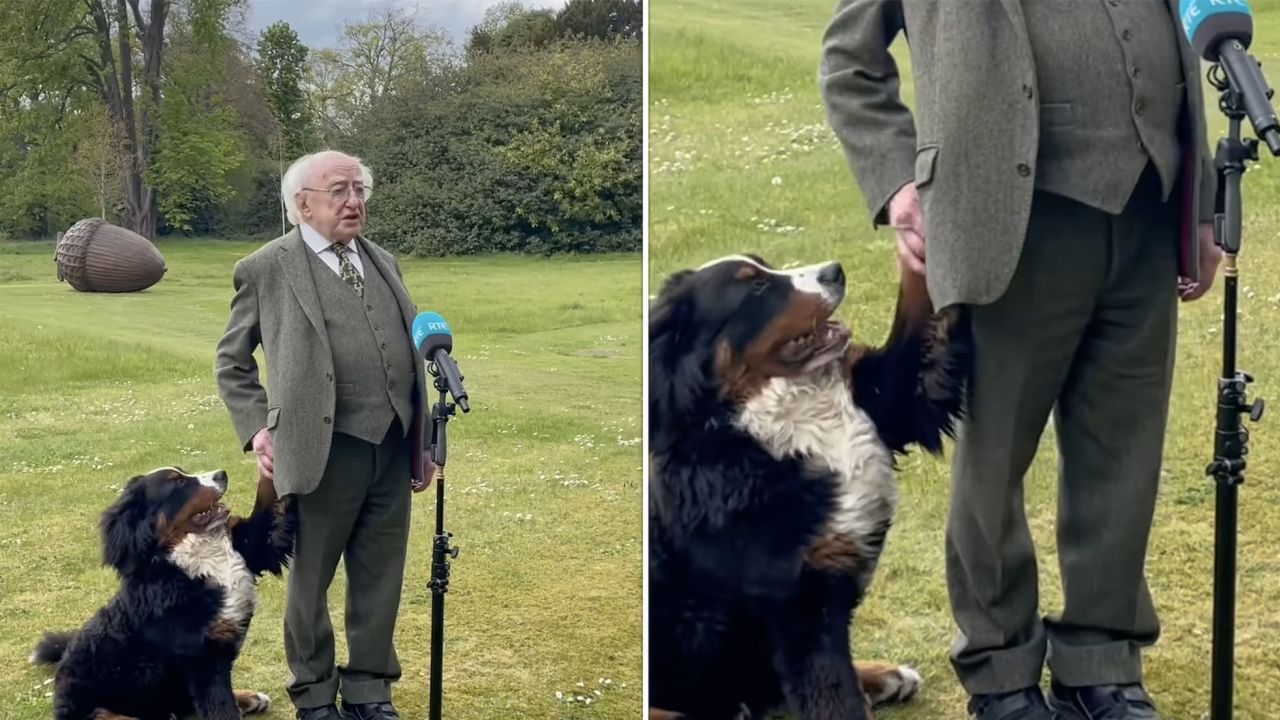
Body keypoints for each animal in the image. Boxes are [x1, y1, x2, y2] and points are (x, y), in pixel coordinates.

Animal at [33, 466, 298, 717]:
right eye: (178, 482)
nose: (221, 474)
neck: (198, 560)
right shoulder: (203, 657)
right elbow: (220, 707)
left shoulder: (253, 546)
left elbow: (267, 498)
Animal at [650, 253, 967, 717]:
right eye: (756, 287)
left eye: (764, 264)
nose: (834, 271)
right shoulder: (800, 600)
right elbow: (834, 695)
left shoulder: (889, 398)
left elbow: (919, 308)